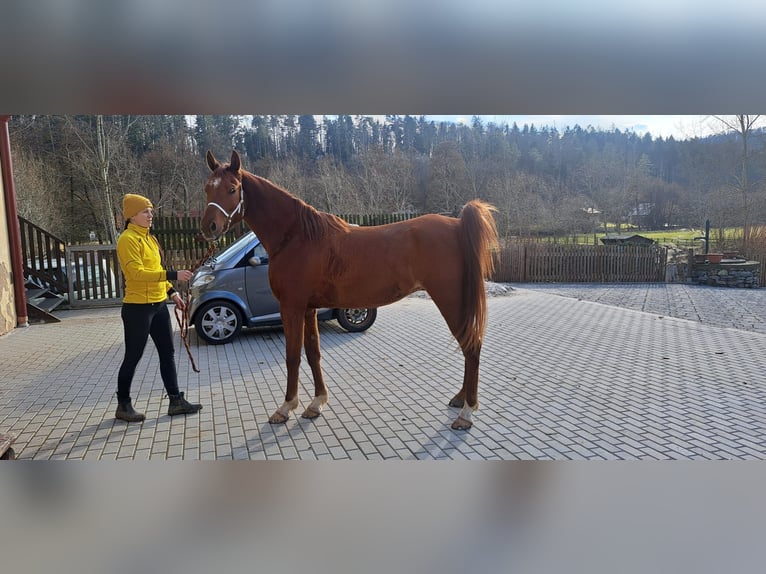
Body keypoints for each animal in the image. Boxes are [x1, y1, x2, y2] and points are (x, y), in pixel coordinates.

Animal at [201, 151, 500, 430]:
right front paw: (316, 403)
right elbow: (313, 354)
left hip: (451, 300)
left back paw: (466, 412)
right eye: (207, 188)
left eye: (232, 188)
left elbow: (292, 356)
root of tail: (458, 225)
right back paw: (460, 399)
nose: (209, 227)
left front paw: (286, 407)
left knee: (471, 346)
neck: (297, 237)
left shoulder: (292, 307)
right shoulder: (309, 309)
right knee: (469, 346)